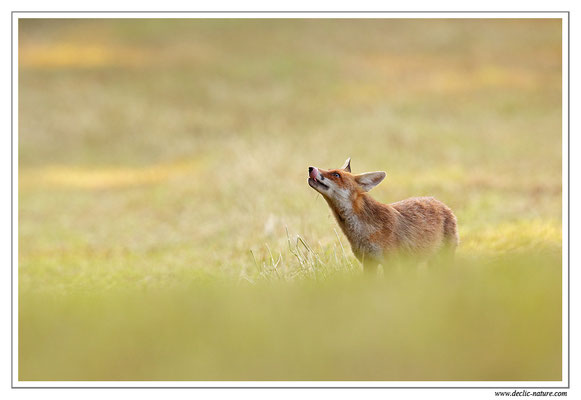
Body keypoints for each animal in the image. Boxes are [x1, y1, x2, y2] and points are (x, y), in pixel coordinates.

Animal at [308, 158, 458, 274]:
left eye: (336, 175)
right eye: (330, 170)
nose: (310, 168)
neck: (362, 233)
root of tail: (441, 203)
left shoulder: (391, 264)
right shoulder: (368, 263)